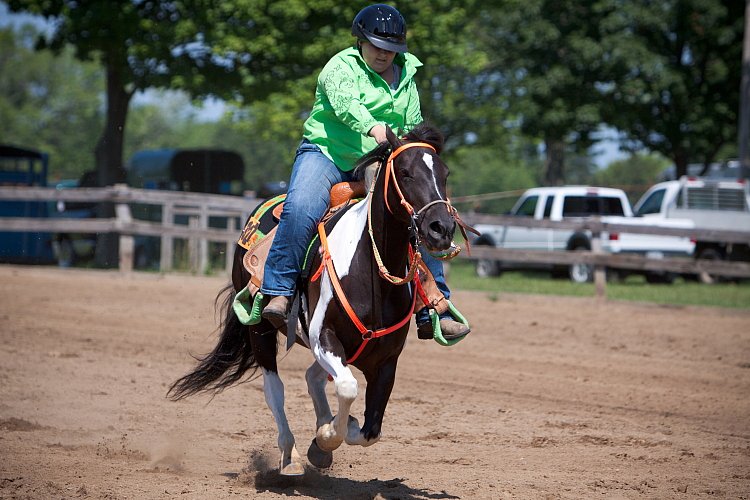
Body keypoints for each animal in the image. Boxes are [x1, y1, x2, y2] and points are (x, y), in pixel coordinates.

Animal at [169, 124, 464, 476]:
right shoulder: (323, 336)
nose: (441, 228)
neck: (372, 271)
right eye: (405, 173)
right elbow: (347, 389)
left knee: (313, 378)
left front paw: (332, 434)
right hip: (260, 330)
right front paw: (326, 436)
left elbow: (370, 430)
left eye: (445, 174)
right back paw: (290, 456)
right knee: (275, 390)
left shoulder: (386, 361)